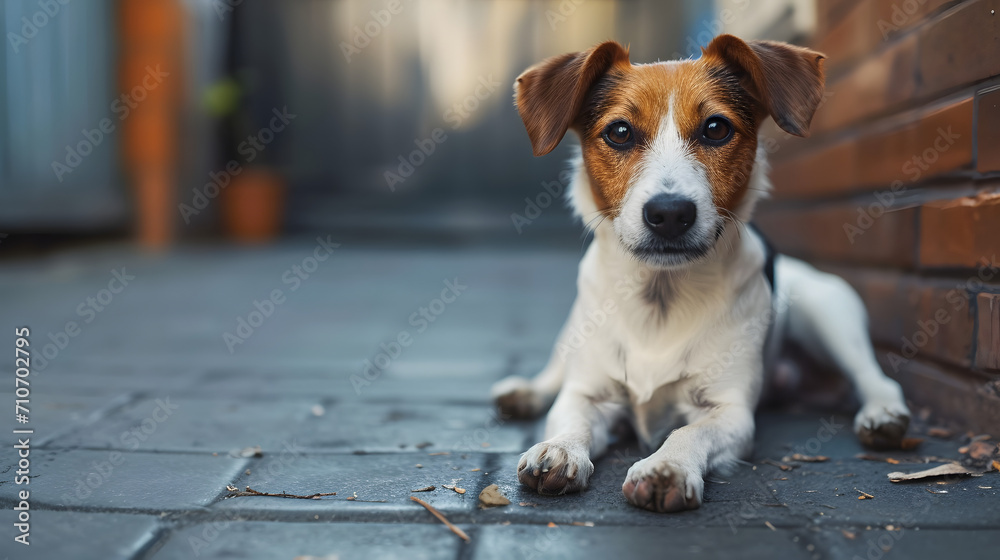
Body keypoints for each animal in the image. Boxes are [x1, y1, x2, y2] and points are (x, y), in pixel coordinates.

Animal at [488, 35, 912, 516]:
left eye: (716, 128)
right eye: (619, 132)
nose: (670, 213)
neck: (661, 295)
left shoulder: (729, 412)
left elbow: (688, 431)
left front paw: (666, 466)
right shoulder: (587, 393)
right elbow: (570, 415)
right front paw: (559, 448)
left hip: (828, 311)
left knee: (872, 376)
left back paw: (882, 414)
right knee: (556, 370)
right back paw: (525, 392)